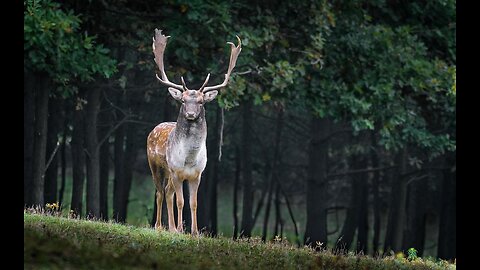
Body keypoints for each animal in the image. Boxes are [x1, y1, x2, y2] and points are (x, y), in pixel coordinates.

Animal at [146, 29, 242, 234]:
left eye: (201, 102)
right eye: (183, 100)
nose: (190, 114)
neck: (189, 159)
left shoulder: (197, 175)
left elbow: (193, 203)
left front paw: (194, 232)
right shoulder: (177, 171)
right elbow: (181, 202)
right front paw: (181, 229)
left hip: (169, 173)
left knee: (168, 192)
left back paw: (171, 227)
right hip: (156, 165)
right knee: (160, 192)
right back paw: (160, 226)